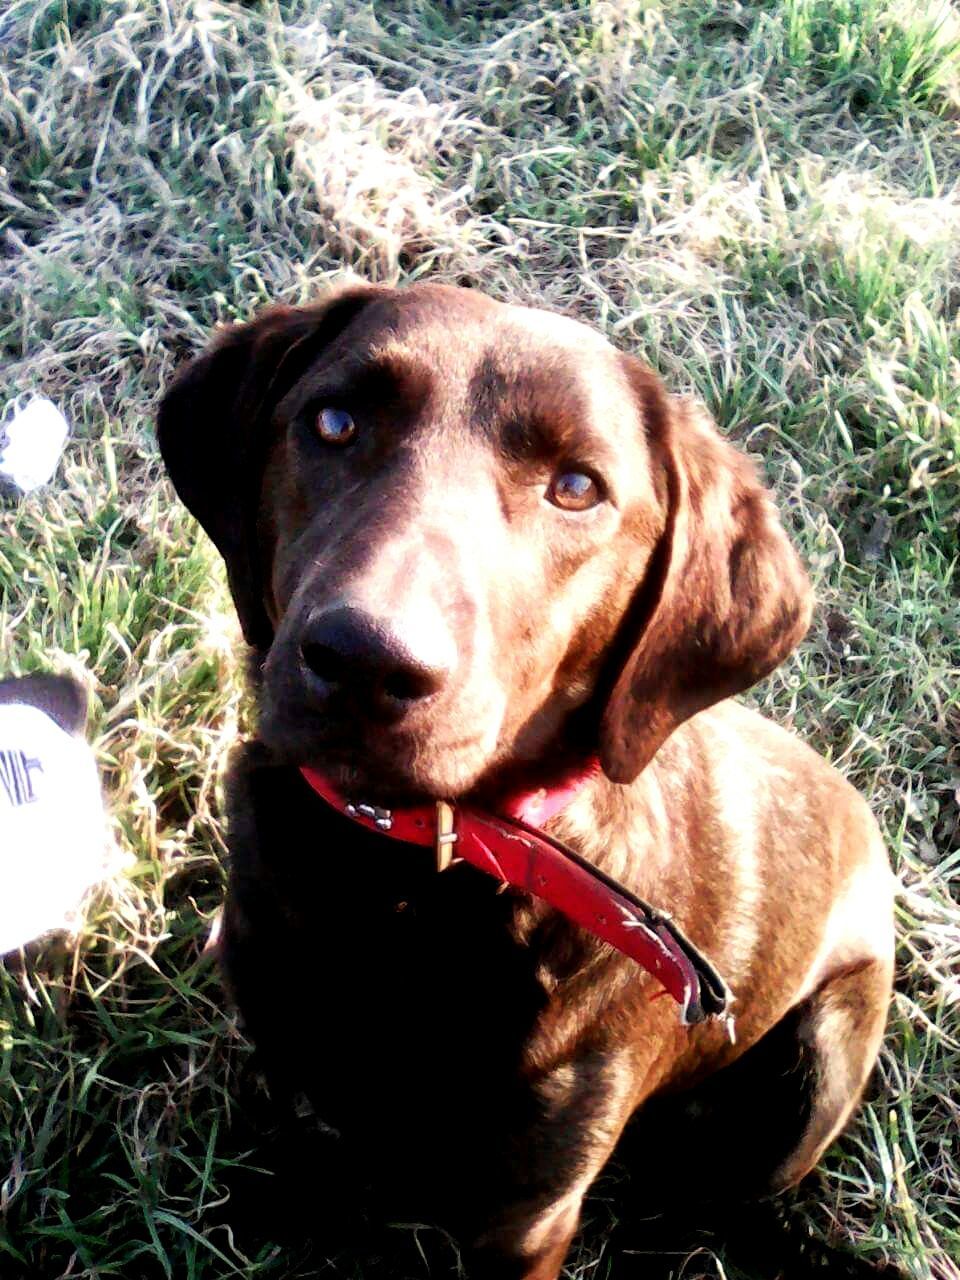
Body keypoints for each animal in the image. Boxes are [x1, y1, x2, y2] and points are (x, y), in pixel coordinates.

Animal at [156, 288, 896, 1280]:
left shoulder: (526, 1219)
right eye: (334, 421)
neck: (399, 887)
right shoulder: (287, 1070)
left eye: (577, 487)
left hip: (814, 1074)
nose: (363, 660)